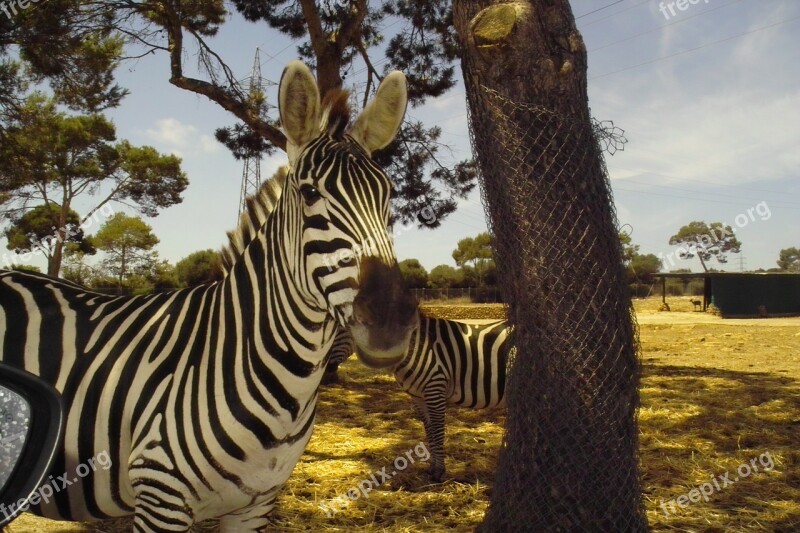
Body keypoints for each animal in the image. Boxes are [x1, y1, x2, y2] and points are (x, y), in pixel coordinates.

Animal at [322, 314, 510, 480]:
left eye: (342, 327)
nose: (324, 370)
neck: (414, 349)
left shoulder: (435, 388)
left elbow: (438, 430)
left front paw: (439, 472)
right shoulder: (418, 396)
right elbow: (429, 429)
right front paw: (432, 468)